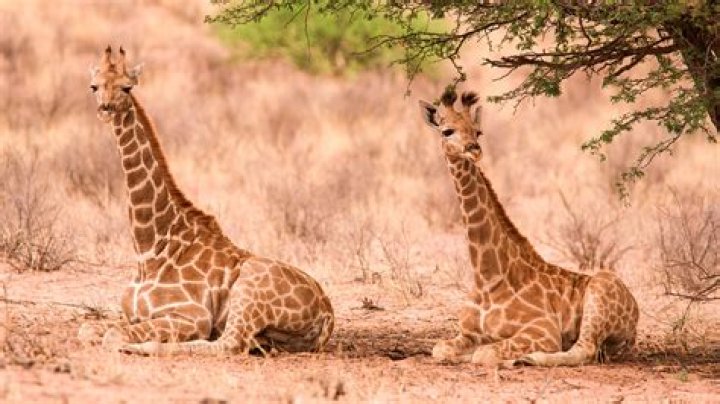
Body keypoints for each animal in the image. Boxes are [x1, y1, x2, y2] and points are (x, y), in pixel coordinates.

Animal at [77, 46, 334, 356]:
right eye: (94, 86)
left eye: (127, 87)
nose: (106, 109)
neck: (149, 249)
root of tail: (328, 314)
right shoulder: (130, 314)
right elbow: (87, 329)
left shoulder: (193, 316)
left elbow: (112, 335)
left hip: (248, 289)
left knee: (227, 344)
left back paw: (148, 347)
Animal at [418, 88, 639, 367]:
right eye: (447, 131)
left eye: (478, 131)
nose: (474, 150)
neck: (485, 278)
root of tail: (636, 315)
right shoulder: (466, 332)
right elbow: (440, 349)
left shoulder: (544, 330)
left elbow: (485, 353)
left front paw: (504, 357)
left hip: (599, 293)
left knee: (584, 350)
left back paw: (526, 359)